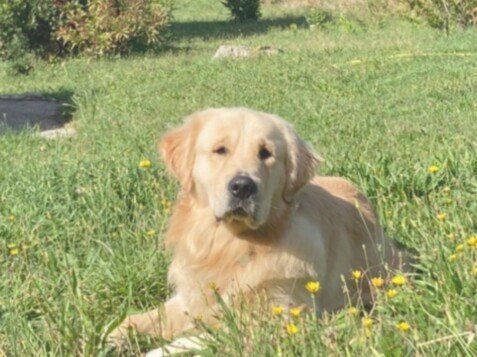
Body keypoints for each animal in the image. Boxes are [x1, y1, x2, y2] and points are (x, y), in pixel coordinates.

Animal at [109, 107, 410, 350]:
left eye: (266, 154)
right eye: (220, 150)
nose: (242, 186)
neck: (230, 246)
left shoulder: (278, 318)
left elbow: (191, 342)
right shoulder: (188, 298)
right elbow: (135, 320)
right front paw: (110, 339)